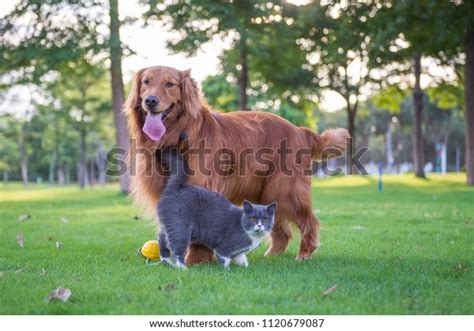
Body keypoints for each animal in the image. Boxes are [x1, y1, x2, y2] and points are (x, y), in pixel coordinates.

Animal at [124, 66, 350, 264]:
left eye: (170, 84)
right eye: (146, 82)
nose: (150, 101)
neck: (179, 133)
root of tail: (300, 130)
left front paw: (196, 260)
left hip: (284, 190)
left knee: (309, 221)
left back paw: (304, 253)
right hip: (268, 193)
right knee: (282, 231)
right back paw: (272, 256)